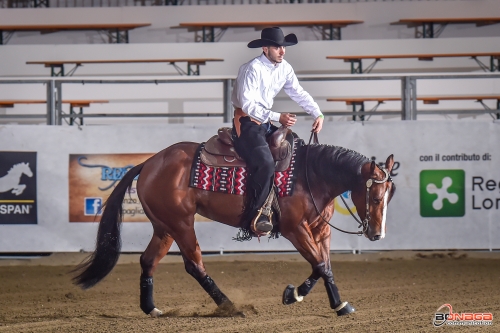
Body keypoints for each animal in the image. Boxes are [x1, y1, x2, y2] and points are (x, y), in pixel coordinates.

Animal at [73, 137, 394, 316]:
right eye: (377, 196)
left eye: (389, 195)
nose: (377, 234)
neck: (310, 175)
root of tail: (150, 162)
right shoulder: (295, 229)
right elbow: (321, 265)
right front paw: (306, 298)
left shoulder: (320, 230)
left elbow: (323, 266)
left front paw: (323, 301)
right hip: (181, 223)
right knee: (194, 264)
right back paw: (229, 307)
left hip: (164, 227)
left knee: (148, 261)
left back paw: (151, 308)